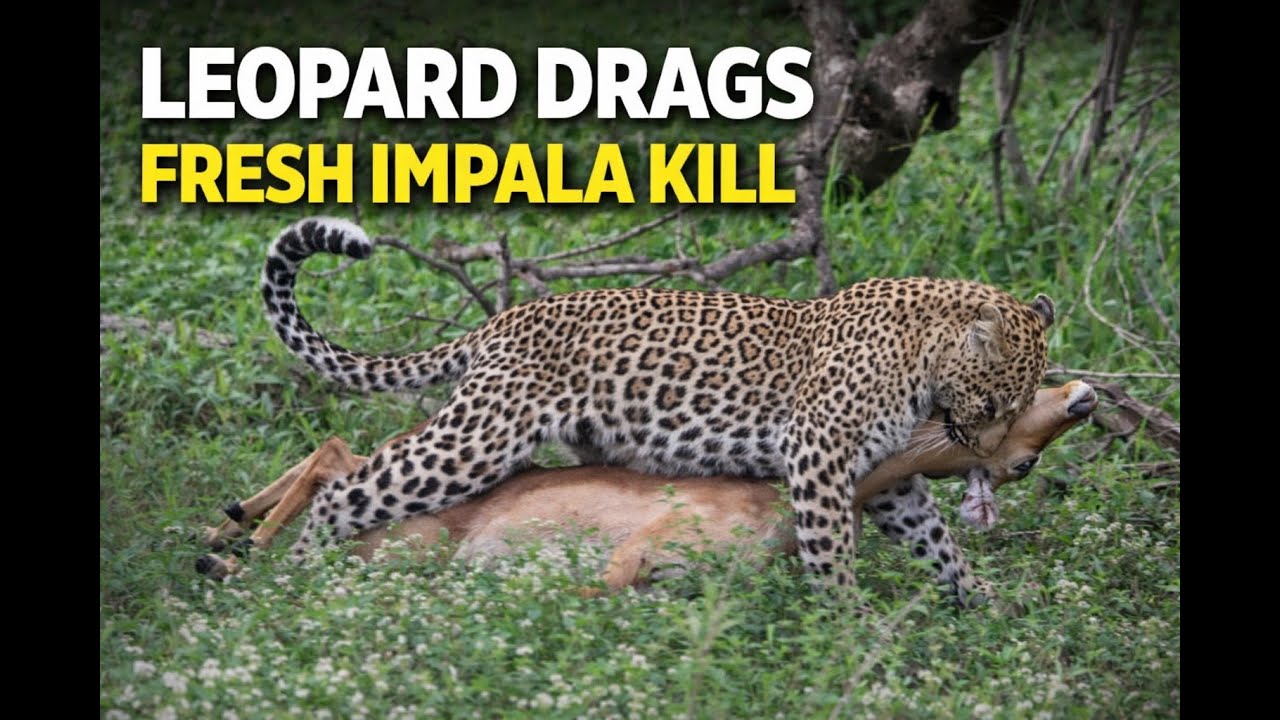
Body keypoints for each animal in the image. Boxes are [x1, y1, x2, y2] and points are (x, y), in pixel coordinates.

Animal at [259, 216, 1055, 586]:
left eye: (1013, 408)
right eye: (993, 404)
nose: (998, 457)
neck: (921, 351)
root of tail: (504, 318)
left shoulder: (879, 475)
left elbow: (935, 540)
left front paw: (978, 605)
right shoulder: (817, 453)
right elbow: (831, 550)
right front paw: (845, 624)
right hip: (477, 440)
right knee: (347, 493)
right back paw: (294, 585)